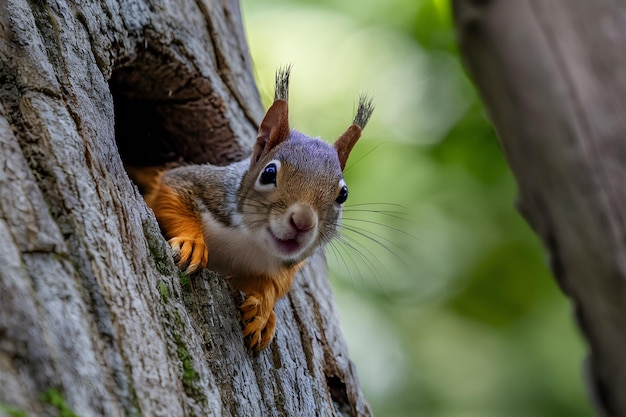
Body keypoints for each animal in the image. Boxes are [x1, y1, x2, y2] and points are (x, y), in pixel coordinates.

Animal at [134, 69, 372, 352]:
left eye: (343, 194)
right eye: (268, 173)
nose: (303, 222)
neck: (250, 241)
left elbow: (272, 285)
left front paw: (263, 311)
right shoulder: (195, 183)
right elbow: (172, 195)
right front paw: (193, 243)